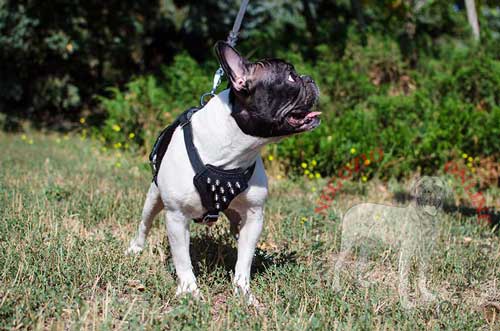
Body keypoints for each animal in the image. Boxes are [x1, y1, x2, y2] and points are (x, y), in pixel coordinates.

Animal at [126, 40, 320, 304]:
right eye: (291, 77)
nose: (310, 78)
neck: (232, 154)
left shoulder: (254, 216)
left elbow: (244, 260)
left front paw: (243, 291)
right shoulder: (176, 217)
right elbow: (182, 259)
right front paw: (189, 290)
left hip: (237, 218)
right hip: (153, 198)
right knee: (144, 223)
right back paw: (135, 248)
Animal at [334, 176, 448, 308]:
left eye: (437, 186)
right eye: (421, 185)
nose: (427, 192)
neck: (425, 217)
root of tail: (351, 209)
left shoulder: (426, 252)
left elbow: (422, 275)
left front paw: (425, 295)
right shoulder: (407, 251)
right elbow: (404, 279)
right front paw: (405, 303)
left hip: (366, 247)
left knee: (358, 265)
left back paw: (362, 283)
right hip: (348, 244)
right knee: (337, 265)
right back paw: (336, 287)